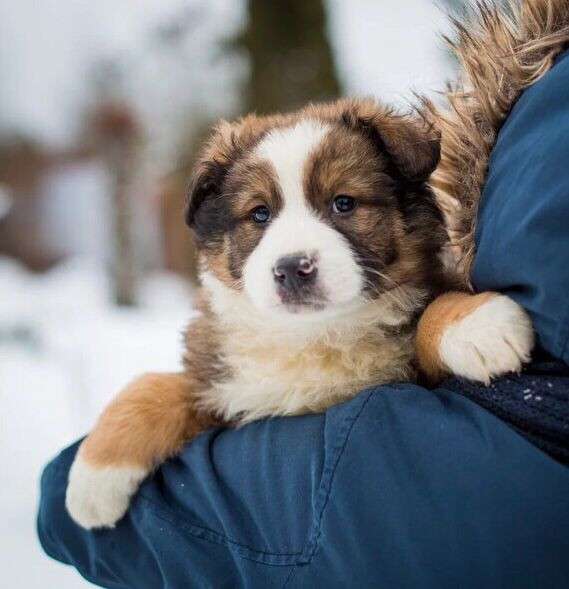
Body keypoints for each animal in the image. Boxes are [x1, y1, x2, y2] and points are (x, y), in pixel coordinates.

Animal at [66, 97, 532, 528]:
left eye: (343, 203)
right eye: (259, 213)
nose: (292, 268)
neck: (313, 336)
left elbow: (434, 308)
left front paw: (480, 325)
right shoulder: (221, 384)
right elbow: (155, 386)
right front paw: (92, 481)